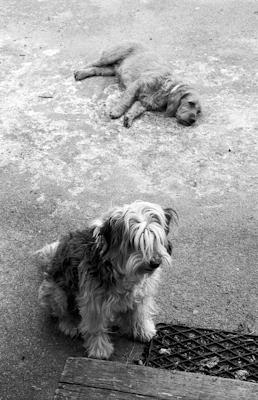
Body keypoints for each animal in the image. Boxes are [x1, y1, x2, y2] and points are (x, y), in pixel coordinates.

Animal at [37, 200, 177, 360]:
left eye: (156, 237)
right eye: (134, 241)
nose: (155, 262)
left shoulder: (142, 295)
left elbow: (139, 314)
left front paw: (142, 330)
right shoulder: (94, 303)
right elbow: (96, 328)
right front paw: (100, 349)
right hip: (57, 293)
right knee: (61, 314)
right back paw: (70, 324)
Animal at [74, 42, 202, 126]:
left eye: (198, 112)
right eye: (190, 103)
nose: (193, 121)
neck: (167, 89)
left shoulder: (145, 103)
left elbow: (136, 110)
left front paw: (129, 118)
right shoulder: (136, 86)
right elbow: (125, 101)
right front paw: (116, 111)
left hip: (111, 69)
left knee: (97, 69)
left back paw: (81, 74)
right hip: (110, 57)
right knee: (93, 63)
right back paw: (78, 71)